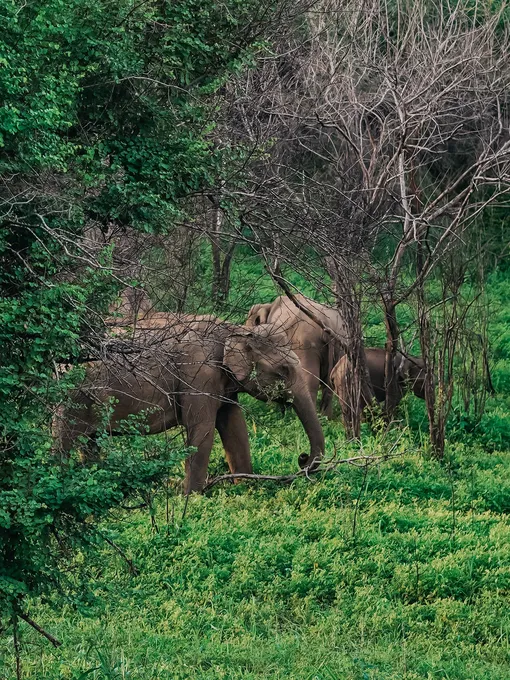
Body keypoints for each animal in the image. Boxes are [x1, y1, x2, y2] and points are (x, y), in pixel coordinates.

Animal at [54, 318, 326, 494]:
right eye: (283, 371)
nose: (302, 458)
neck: (234, 330)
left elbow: (235, 427)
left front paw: (247, 489)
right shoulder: (197, 375)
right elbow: (202, 430)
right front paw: (193, 498)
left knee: (89, 443)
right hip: (72, 397)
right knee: (63, 442)